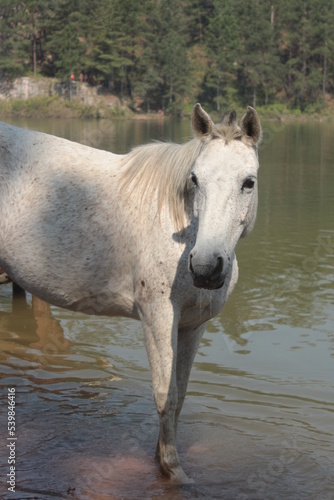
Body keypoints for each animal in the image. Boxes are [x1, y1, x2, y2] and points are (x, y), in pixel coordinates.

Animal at [0, 103, 260, 482]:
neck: (179, 230)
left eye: (248, 182)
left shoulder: (192, 326)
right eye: (195, 179)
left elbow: (180, 395)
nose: (206, 268)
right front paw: (173, 471)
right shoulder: (157, 319)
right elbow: (165, 394)